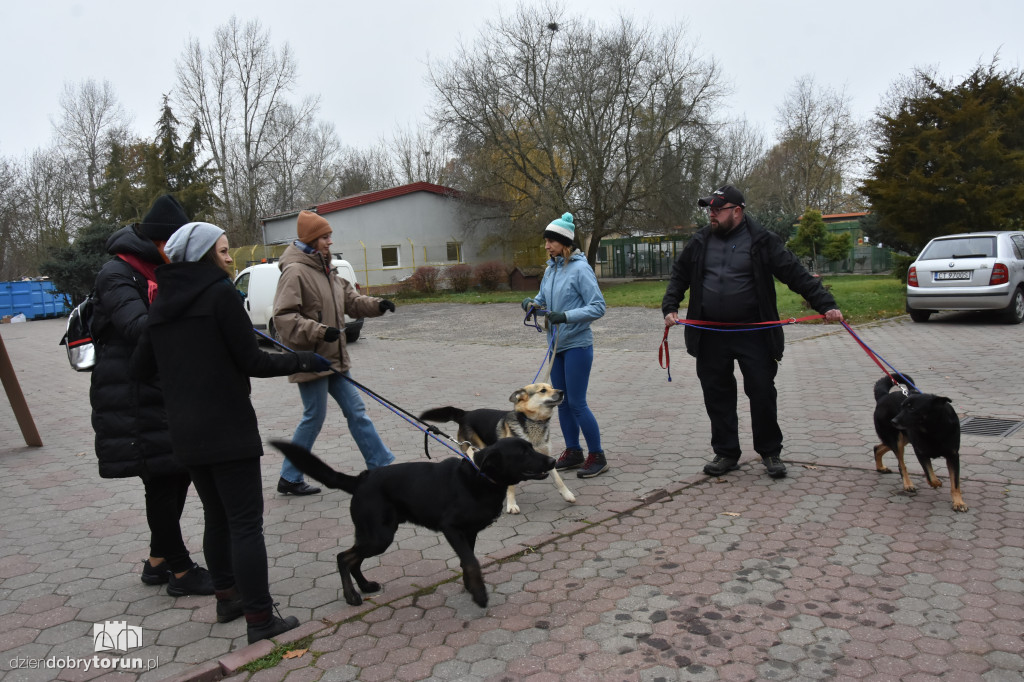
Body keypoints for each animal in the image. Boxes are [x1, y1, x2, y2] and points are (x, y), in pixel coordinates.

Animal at [266, 436, 552, 606]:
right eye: (523, 452)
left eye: (530, 447)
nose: (551, 459)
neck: (481, 478)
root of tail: (361, 479)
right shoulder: (452, 528)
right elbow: (471, 562)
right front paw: (479, 594)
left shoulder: (468, 533)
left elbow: (467, 561)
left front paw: (470, 587)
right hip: (379, 536)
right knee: (343, 557)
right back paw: (351, 596)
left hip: (374, 535)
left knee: (352, 559)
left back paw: (365, 586)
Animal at [417, 378, 573, 512]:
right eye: (543, 390)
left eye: (552, 387)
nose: (562, 392)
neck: (533, 422)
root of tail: (465, 414)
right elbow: (511, 486)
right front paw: (511, 504)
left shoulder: (545, 455)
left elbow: (558, 479)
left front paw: (567, 495)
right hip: (477, 449)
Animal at [872, 372, 966, 509]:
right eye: (902, 407)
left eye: (912, 409)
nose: (893, 421)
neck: (933, 430)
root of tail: (883, 397)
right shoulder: (920, 452)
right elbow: (930, 475)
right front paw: (936, 482)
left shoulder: (953, 456)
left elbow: (955, 483)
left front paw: (959, 503)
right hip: (897, 440)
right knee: (901, 464)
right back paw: (908, 484)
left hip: (902, 438)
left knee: (877, 448)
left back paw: (880, 467)